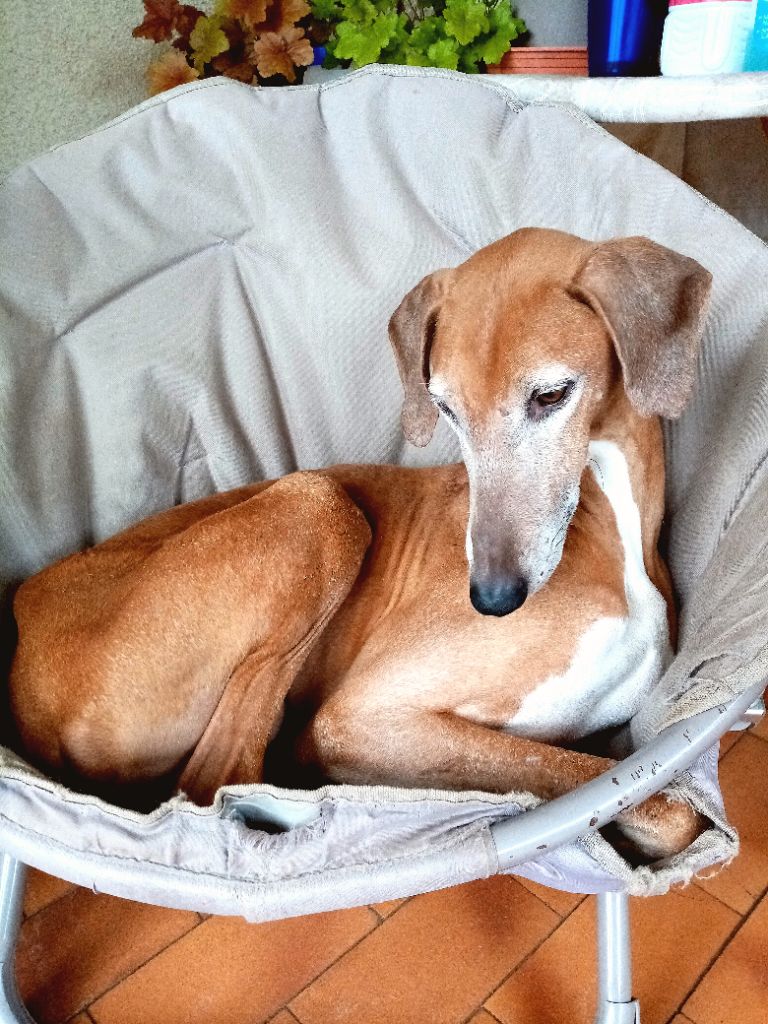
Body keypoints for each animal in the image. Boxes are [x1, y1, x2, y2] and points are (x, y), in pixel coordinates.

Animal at [9, 228, 712, 860]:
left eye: (551, 395)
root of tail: (21, 616)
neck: (613, 534)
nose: (491, 598)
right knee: (217, 779)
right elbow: (619, 789)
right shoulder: (363, 718)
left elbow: (650, 800)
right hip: (318, 507)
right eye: (446, 408)